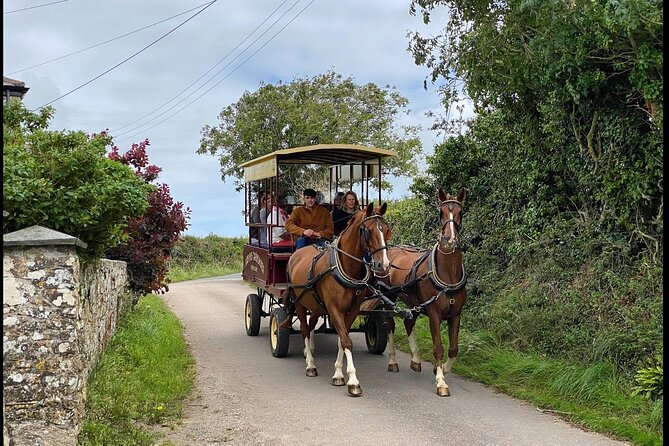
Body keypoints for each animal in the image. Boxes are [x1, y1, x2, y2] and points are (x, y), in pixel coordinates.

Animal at [284, 203, 388, 398]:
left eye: (386, 229)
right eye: (368, 231)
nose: (383, 265)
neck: (346, 266)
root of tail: (296, 254)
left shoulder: (352, 310)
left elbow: (342, 339)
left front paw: (339, 374)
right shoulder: (334, 309)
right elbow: (347, 341)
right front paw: (353, 381)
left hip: (316, 305)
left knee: (310, 325)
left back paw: (308, 351)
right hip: (299, 302)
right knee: (304, 329)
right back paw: (310, 364)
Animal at [378, 186, 468, 396]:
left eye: (460, 213)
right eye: (440, 212)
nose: (450, 239)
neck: (448, 275)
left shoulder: (456, 314)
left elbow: (453, 349)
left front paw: (441, 369)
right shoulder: (434, 314)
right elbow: (438, 348)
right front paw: (441, 382)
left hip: (415, 302)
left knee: (408, 322)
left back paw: (416, 360)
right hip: (388, 296)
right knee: (390, 324)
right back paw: (393, 360)